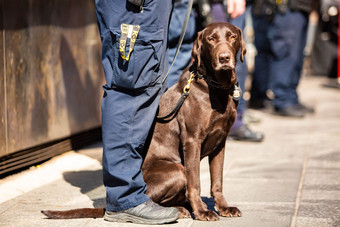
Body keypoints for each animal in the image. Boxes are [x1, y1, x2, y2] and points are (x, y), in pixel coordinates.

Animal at [41, 22, 246, 221]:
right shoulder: (192, 140)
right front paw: (202, 212)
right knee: (162, 196)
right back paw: (177, 210)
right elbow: (194, 182)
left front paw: (224, 208)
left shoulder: (220, 142)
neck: (217, 87)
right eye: (211, 39)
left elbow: (217, 181)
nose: (224, 58)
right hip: (177, 169)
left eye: (232, 37)